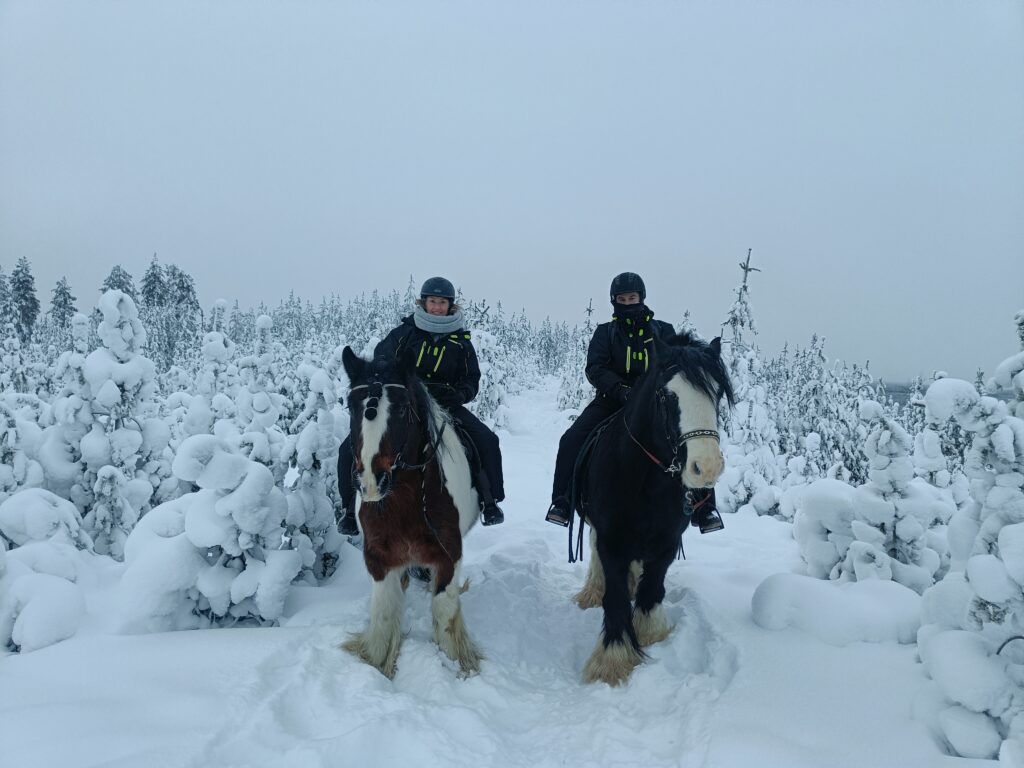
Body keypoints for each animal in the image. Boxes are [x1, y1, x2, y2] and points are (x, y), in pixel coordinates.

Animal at [335, 348, 479, 679]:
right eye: (351, 406)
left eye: (401, 409)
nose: (372, 482)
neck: (404, 504)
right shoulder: (378, 559)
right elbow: (384, 617)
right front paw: (380, 666)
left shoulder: (448, 557)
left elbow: (444, 616)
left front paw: (454, 665)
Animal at [573, 333, 733, 688]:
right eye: (667, 395)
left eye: (716, 393)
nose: (706, 467)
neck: (646, 482)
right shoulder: (611, 541)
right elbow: (616, 598)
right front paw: (612, 661)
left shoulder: (668, 540)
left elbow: (652, 587)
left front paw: (649, 634)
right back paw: (592, 592)